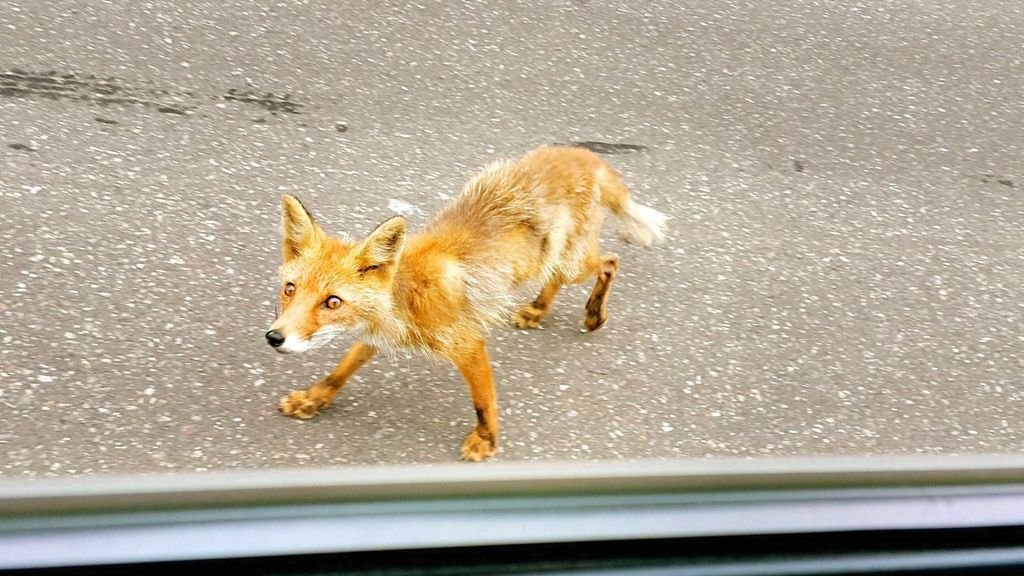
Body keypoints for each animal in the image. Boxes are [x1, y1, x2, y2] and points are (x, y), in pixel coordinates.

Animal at [266, 145, 663, 459]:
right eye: (290, 289)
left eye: (332, 301)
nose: (274, 337)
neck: (406, 297)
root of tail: (586, 155)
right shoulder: (381, 334)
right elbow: (340, 371)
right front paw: (312, 399)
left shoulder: (467, 342)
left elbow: (483, 400)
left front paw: (487, 440)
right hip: (552, 261)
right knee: (564, 275)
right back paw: (538, 309)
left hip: (573, 263)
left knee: (610, 261)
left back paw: (594, 314)